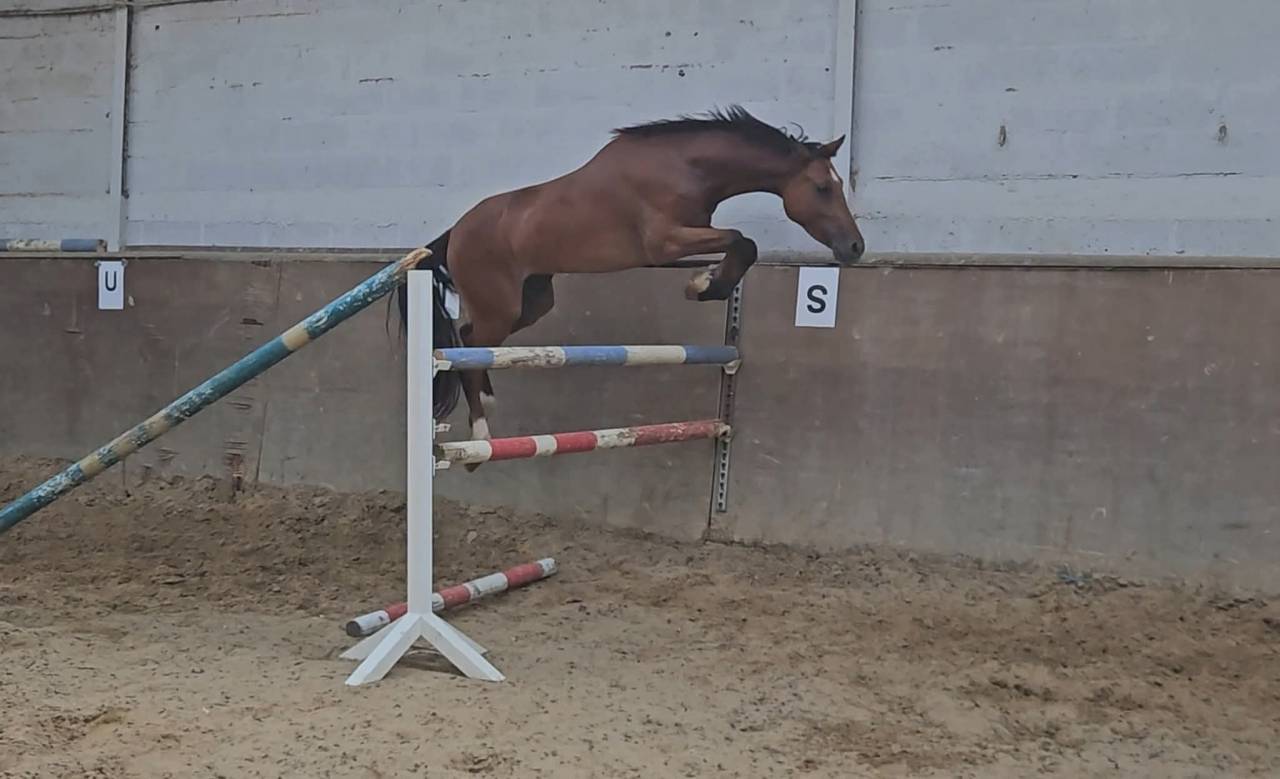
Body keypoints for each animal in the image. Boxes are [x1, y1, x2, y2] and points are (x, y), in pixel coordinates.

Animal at [397, 105, 865, 468]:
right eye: (822, 188)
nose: (855, 247)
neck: (686, 166)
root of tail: (455, 231)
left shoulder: (668, 251)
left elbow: (738, 247)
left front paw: (706, 282)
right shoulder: (666, 240)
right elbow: (741, 239)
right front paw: (703, 286)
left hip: (534, 301)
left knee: (471, 339)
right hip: (501, 305)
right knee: (467, 346)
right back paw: (481, 436)